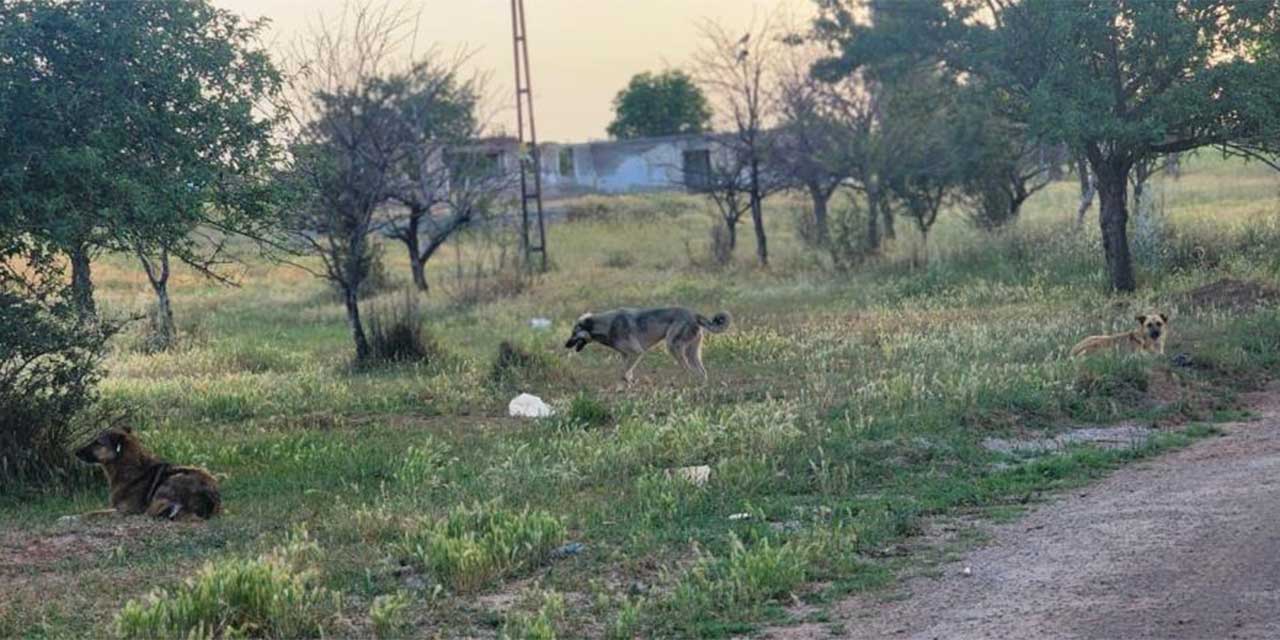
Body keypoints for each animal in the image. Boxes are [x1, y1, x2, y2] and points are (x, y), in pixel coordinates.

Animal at [62, 427, 222, 522]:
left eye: (98, 442)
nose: (75, 452)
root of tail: (210, 497)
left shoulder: (126, 510)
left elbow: (92, 512)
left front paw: (68, 517)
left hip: (171, 481)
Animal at [563, 307, 732, 381]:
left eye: (574, 333)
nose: (565, 345)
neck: (607, 325)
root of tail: (694, 314)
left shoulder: (636, 353)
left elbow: (624, 373)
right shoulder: (626, 356)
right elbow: (625, 373)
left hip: (673, 347)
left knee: (689, 371)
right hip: (692, 353)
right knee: (701, 373)